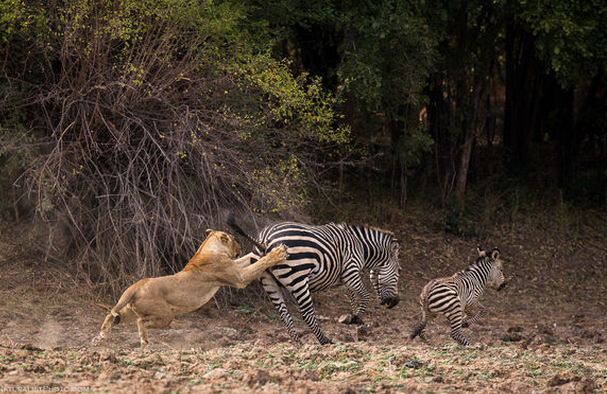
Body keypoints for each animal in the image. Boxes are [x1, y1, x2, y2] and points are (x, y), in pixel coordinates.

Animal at [228, 215, 400, 344]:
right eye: (399, 271)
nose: (394, 303)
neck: (360, 246)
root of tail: (264, 240)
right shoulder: (350, 272)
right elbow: (365, 295)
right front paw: (356, 319)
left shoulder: (337, 279)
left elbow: (351, 295)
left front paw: (352, 316)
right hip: (298, 278)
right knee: (306, 313)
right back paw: (324, 341)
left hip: (268, 281)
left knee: (284, 314)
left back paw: (300, 344)